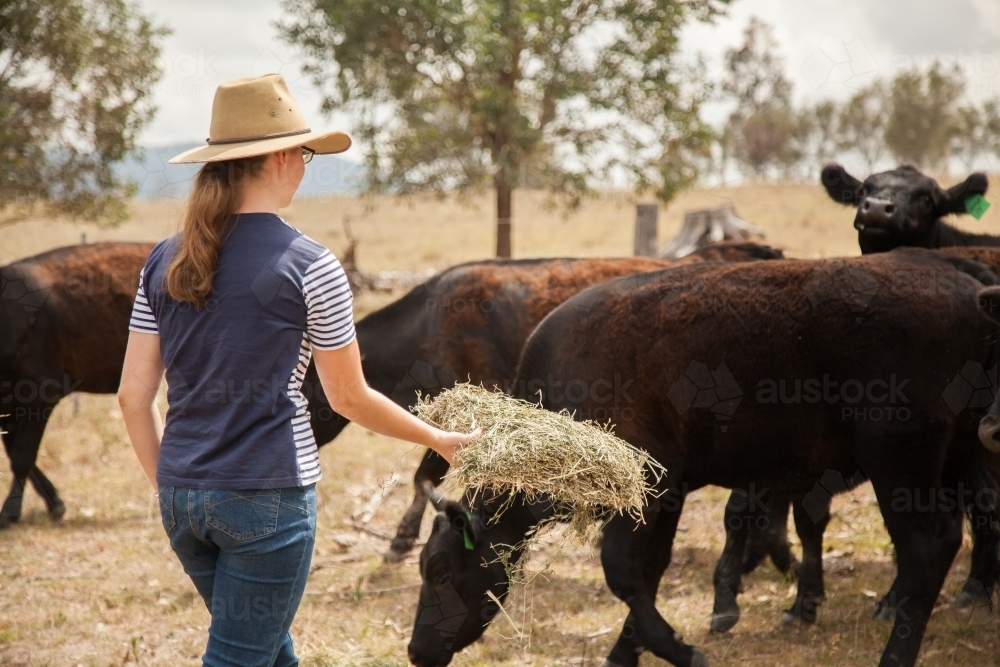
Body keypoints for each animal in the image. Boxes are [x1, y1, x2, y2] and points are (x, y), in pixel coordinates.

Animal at [408, 252, 1000, 667]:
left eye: (438, 570)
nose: (416, 651)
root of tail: (963, 282)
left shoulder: (648, 491)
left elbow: (623, 574)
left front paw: (683, 650)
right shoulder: (665, 497)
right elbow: (647, 575)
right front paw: (626, 652)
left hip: (898, 460)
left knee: (927, 547)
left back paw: (893, 654)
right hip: (962, 452)